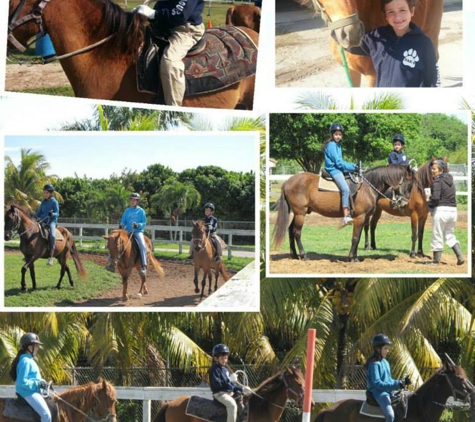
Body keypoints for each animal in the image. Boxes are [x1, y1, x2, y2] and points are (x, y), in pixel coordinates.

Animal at [274, 164, 414, 260]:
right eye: (409, 185)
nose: (405, 204)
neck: (367, 188)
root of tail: (288, 181)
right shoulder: (360, 217)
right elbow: (355, 237)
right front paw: (352, 257)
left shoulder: (363, 218)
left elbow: (358, 236)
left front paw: (355, 256)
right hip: (300, 214)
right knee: (297, 232)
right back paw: (304, 255)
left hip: (297, 213)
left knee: (290, 230)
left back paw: (294, 255)